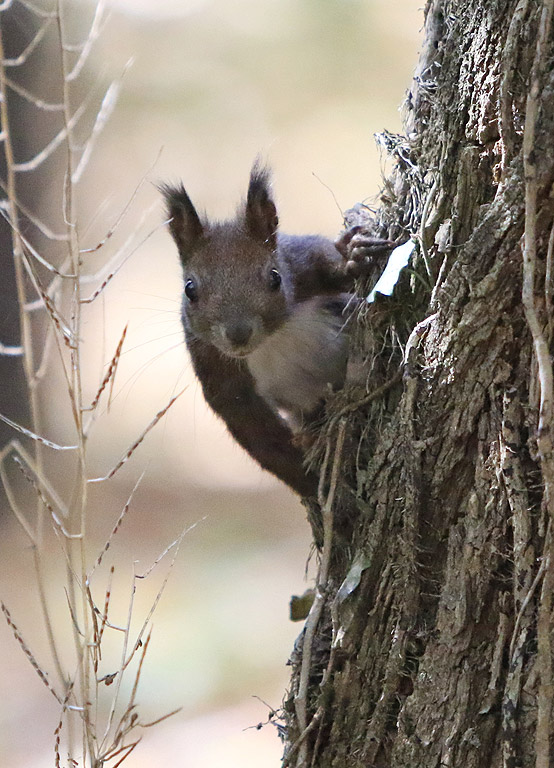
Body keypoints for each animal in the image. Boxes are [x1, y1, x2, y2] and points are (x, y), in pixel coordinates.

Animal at [161, 163, 396, 498]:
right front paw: (312, 484)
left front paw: (351, 256)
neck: (272, 338)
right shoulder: (212, 363)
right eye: (189, 289)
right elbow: (256, 430)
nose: (238, 334)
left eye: (275, 277)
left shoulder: (304, 261)